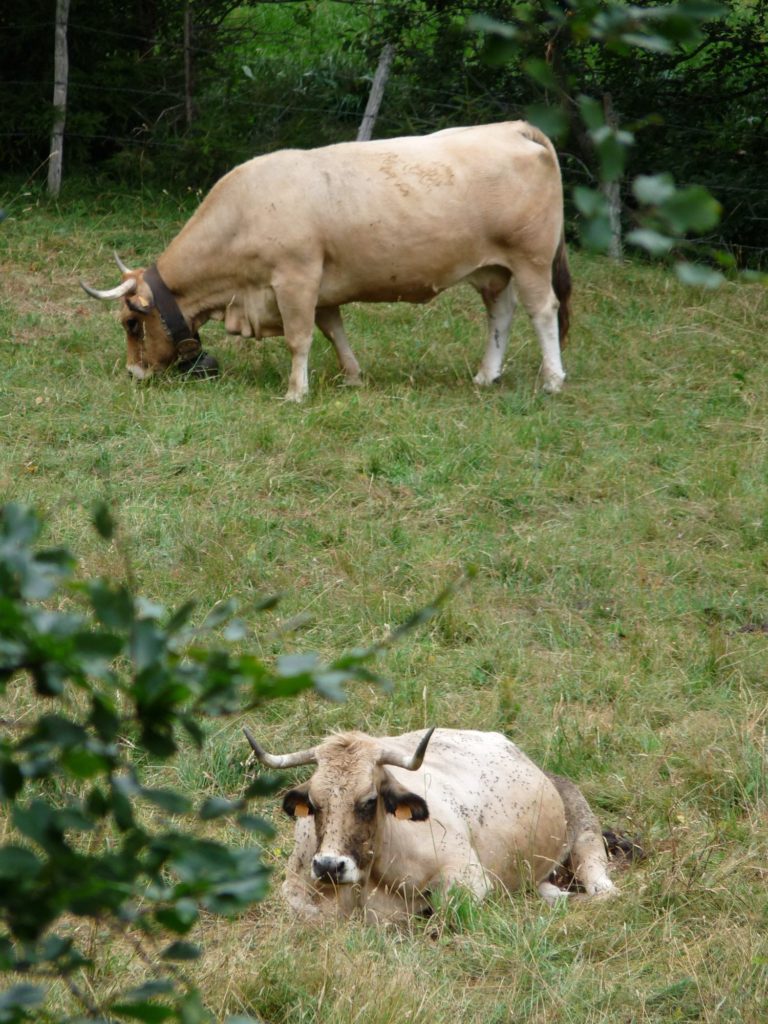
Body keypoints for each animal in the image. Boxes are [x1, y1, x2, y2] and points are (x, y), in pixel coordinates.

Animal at [81, 121, 573, 401]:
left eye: (131, 323)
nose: (134, 372)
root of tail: (512, 127)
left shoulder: (295, 278)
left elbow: (299, 338)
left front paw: (296, 393)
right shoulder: (319, 288)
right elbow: (334, 330)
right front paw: (352, 377)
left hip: (529, 259)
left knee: (542, 311)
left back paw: (552, 380)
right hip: (493, 270)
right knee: (500, 315)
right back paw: (486, 375)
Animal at [243, 724, 618, 925]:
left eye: (369, 800)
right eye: (314, 803)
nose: (329, 866)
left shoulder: (468, 879)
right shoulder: (294, 885)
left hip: (583, 828)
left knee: (602, 886)